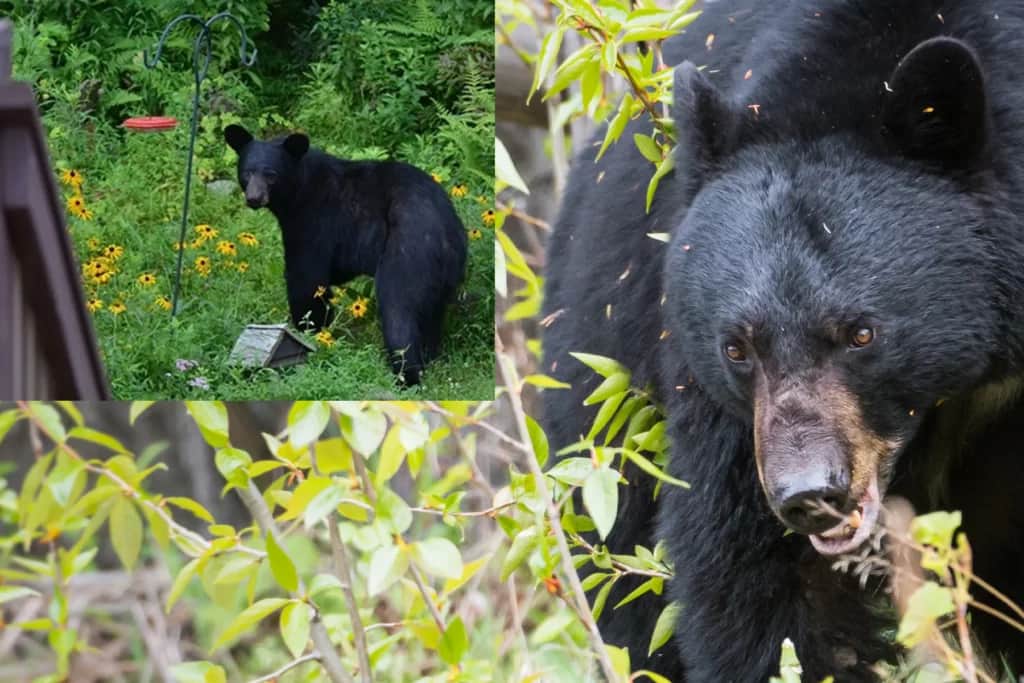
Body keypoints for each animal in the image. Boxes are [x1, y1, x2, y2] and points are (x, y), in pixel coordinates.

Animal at [224, 124, 467, 386]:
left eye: (271, 174)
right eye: (247, 173)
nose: (254, 198)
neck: (299, 190)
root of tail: (443, 231)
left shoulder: (315, 221)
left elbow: (306, 278)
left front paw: (310, 331)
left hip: (407, 252)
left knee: (399, 310)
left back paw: (406, 374)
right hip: (445, 273)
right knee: (432, 314)